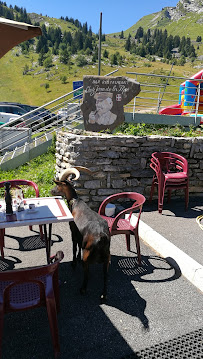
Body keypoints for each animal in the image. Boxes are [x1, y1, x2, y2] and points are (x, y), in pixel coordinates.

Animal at [51, 167, 111, 302]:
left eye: (58, 184)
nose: (52, 191)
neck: (75, 202)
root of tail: (102, 236)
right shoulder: (80, 236)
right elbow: (78, 245)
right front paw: (77, 258)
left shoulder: (73, 231)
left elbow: (74, 246)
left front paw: (73, 263)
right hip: (107, 257)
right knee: (105, 276)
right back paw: (104, 295)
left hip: (88, 254)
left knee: (87, 273)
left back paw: (83, 289)